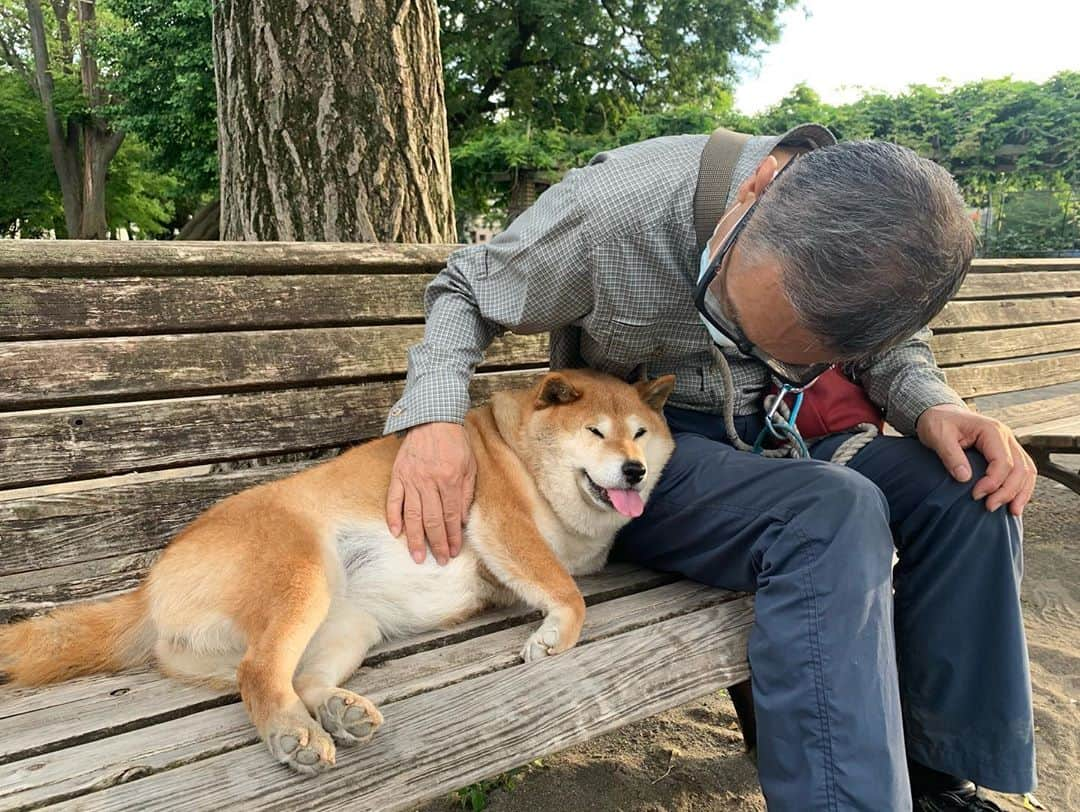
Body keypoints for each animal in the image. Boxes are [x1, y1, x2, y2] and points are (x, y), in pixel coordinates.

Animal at [0, 367, 673, 773]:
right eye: (596, 432)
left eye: (640, 433)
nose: (635, 470)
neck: (515, 450)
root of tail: (146, 591)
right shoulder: (501, 523)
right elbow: (567, 590)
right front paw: (555, 635)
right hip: (305, 573)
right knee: (260, 672)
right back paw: (290, 733)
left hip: (349, 623)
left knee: (295, 678)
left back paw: (336, 710)